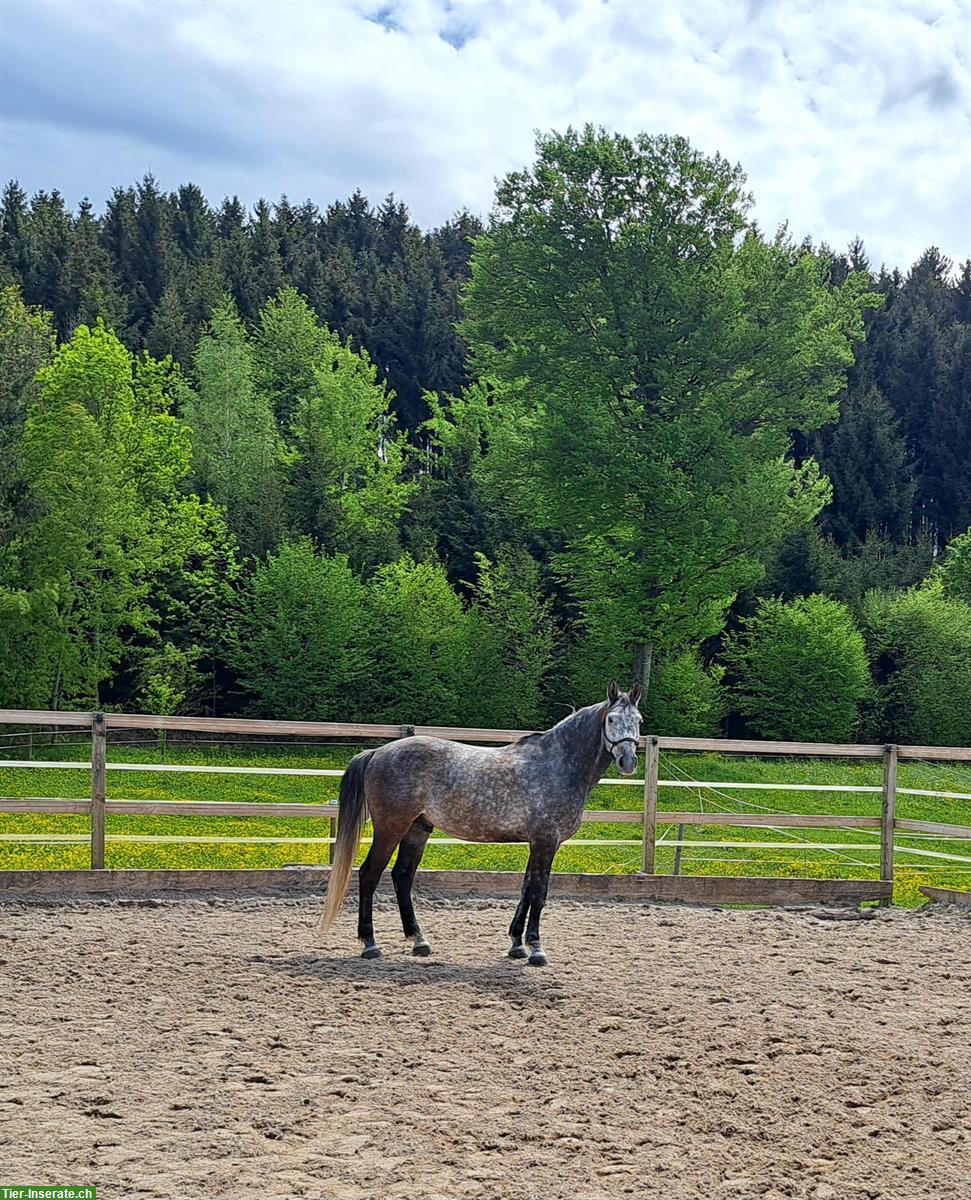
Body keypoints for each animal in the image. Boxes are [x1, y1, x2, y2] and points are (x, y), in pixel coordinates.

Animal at [314, 686, 638, 964]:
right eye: (611, 719)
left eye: (638, 721)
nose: (628, 761)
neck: (557, 764)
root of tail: (377, 753)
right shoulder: (547, 841)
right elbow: (539, 892)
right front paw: (536, 948)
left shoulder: (536, 843)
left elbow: (526, 889)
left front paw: (516, 944)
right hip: (391, 828)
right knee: (370, 874)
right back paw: (370, 944)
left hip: (417, 830)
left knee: (402, 876)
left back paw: (419, 940)